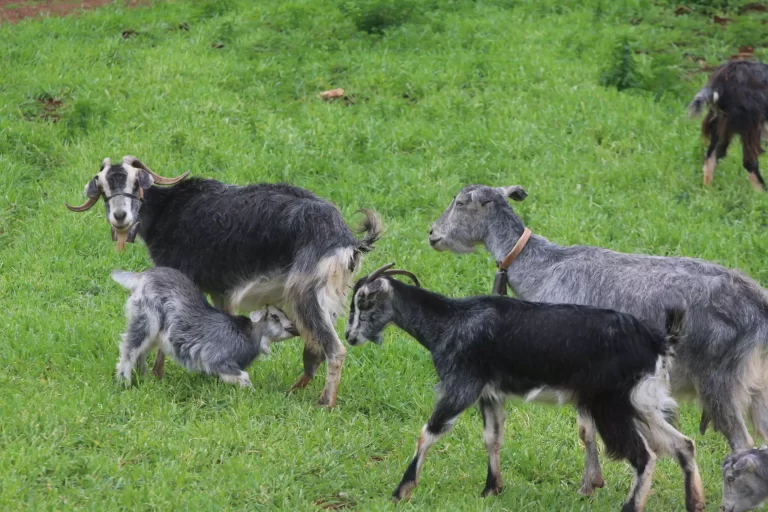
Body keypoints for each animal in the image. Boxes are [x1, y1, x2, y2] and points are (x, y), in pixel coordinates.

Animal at [112, 268, 298, 388]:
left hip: (155, 333)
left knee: (141, 352)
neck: (248, 335)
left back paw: (144, 378)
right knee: (129, 349)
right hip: (145, 321)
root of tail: (143, 276)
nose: (293, 327)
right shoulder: (217, 359)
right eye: (275, 316)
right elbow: (243, 377)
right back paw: (124, 382)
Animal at [432, 183, 768, 496]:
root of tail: (757, 305)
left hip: (720, 382)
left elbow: (584, 430)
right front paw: (593, 482)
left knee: (742, 443)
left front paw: (588, 485)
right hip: (758, 389)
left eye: (459, 203)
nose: (432, 233)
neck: (545, 269)